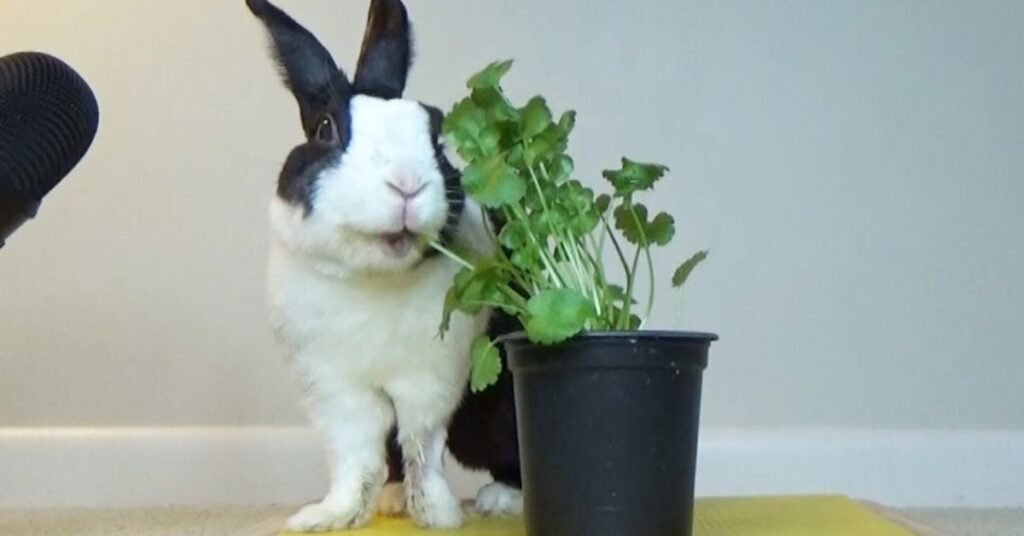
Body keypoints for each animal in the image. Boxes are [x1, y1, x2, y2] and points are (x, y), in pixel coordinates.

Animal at [247, 0, 522, 531]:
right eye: (326, 129)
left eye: (436, 134)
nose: (407, 183)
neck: (368, 279)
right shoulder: (336, 392)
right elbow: (356, 458)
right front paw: (329, 516)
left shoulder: (430, 382)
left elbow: (422, 447)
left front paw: (436, 514)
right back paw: (391, 499)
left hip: (494, 405)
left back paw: (503, 499)